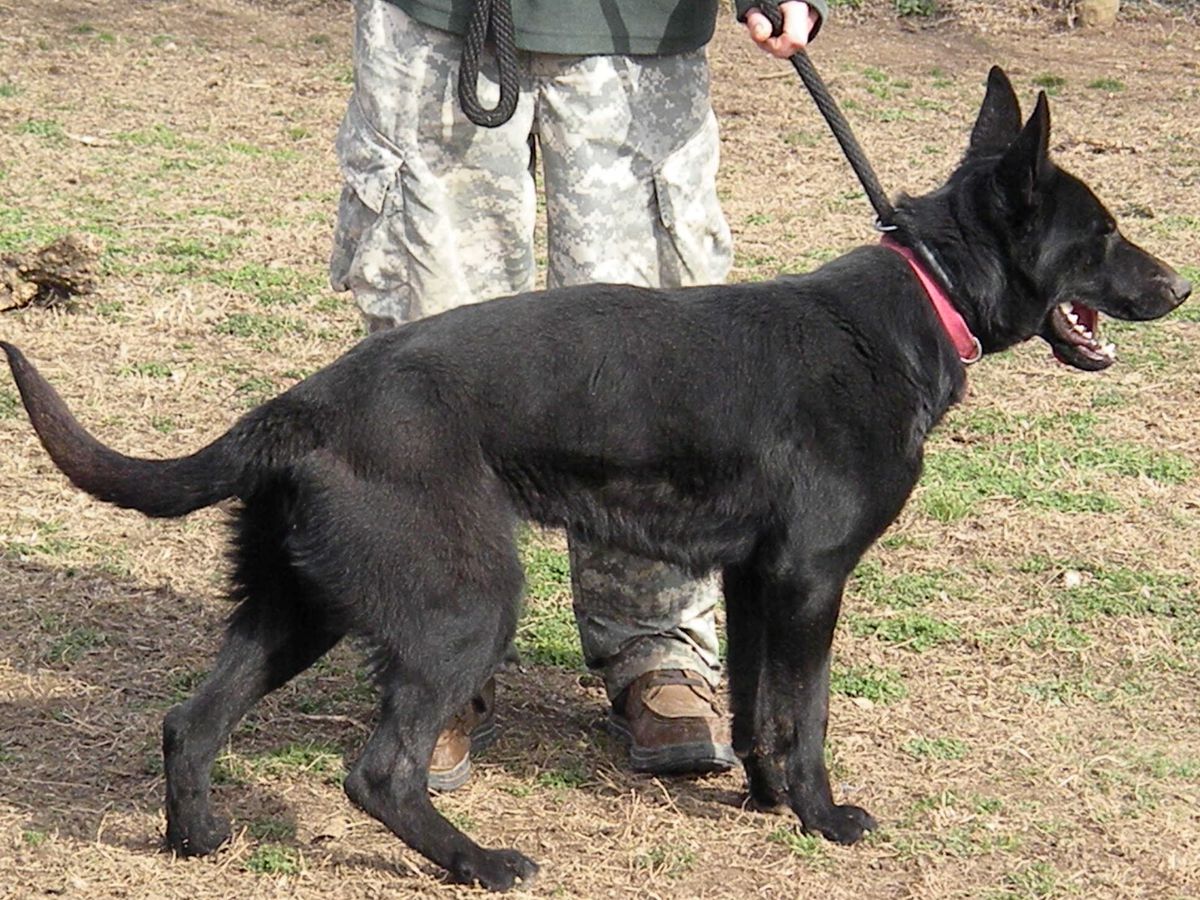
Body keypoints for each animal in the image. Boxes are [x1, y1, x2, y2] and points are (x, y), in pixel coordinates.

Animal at [2, 66, 1190, 892]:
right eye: (1104, 235)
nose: (1179, 287)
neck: (921, 295)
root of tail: (305, 403)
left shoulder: (756, 582)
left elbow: (757, 708)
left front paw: (764, 804)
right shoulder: (812, 581)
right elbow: (805, 714)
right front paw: (822, 816)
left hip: (298, 608)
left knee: (189, 722)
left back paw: (198, 836)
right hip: (466, 603)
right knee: (378, 770)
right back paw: (480, 864)